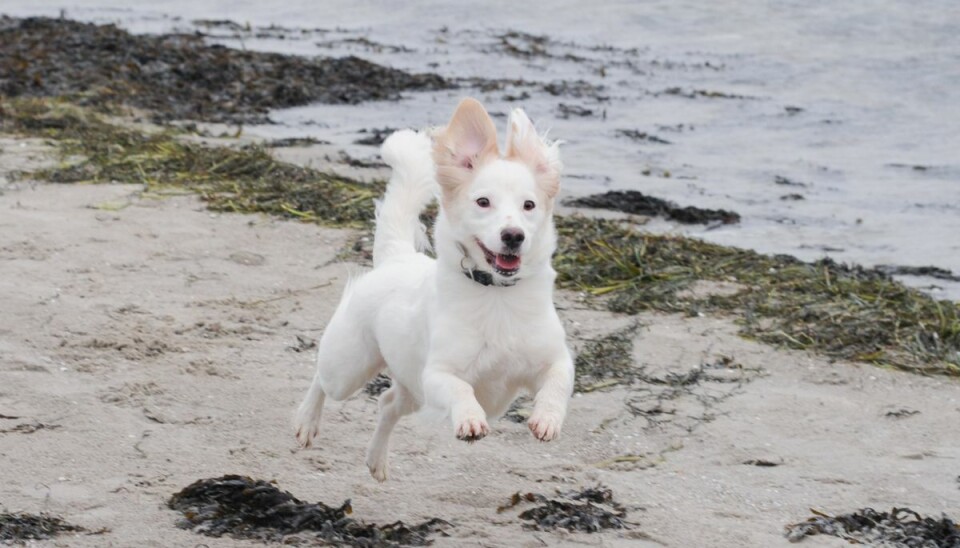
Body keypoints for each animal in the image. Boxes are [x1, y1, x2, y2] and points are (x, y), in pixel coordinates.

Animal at [292, 97, 572, 480]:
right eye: (483, 202)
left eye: (529, 205)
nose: (514, 236)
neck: (497, 294)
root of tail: (397, 257)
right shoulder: (437, 374)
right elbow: (461, 388)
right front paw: (470, 419)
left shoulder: (557, 359)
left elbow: (557, 383)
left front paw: (547, 419)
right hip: (350, 368)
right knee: (321, 377)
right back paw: (307, 422)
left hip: (411, 390)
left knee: (387, 403)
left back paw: (376, 460)